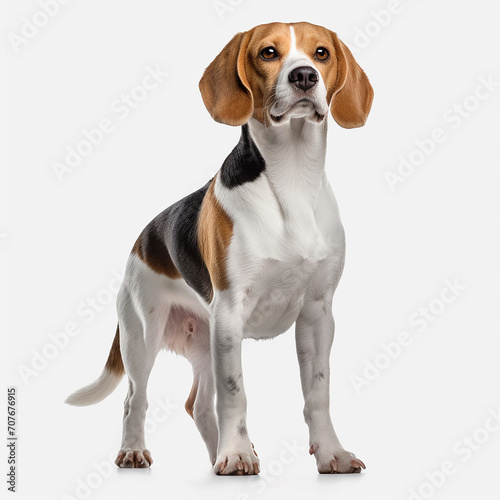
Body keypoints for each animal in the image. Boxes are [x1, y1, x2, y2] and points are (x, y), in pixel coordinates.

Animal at [66, 21, 372, 476]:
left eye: (321, 53)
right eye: (268, 52)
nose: (304, 76)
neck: (293, 178)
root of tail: (141, 241)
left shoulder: (318, 314)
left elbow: (317, 393)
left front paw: (331, 453)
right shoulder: (231, 312)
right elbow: (235, 393)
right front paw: (238, 454)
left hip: (208, 339)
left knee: (197, 406)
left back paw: (216, 455)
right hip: (144, 337)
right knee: (134, 399)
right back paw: (139, 451)